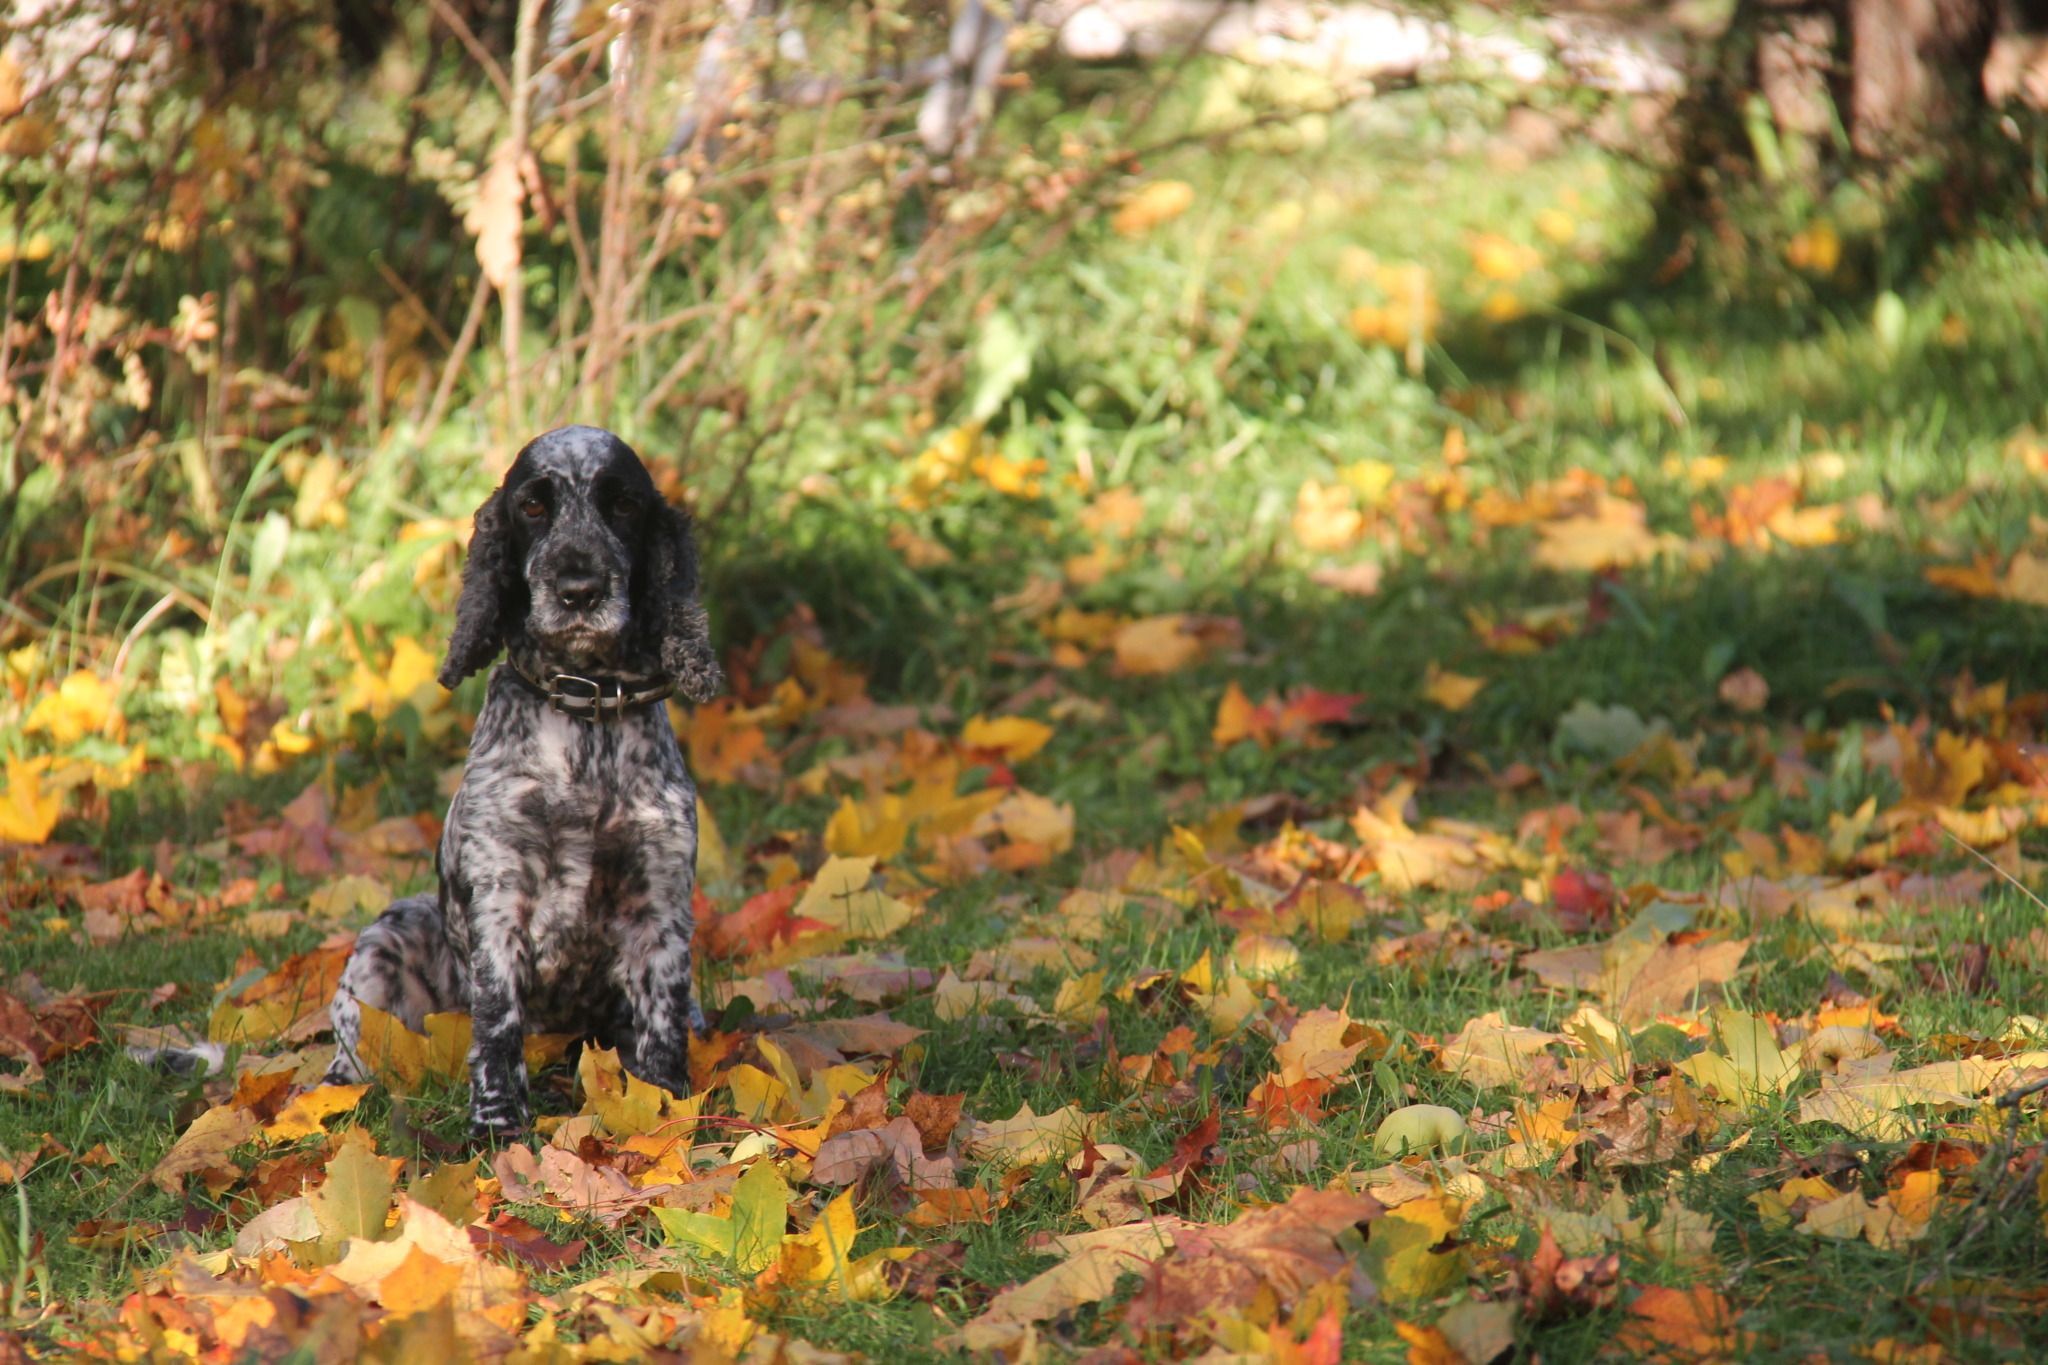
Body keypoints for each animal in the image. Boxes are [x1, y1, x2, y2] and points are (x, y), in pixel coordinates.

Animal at [325, 423, 720, 1129]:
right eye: (533, 507)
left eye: (624, 505)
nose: (580, 589)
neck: (586, 708)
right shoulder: (500, 891)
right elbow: (498, 1020)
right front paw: (498, 1122)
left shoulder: (661, 898)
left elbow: (663, 1020)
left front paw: (664, 1113)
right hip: (386, 936)